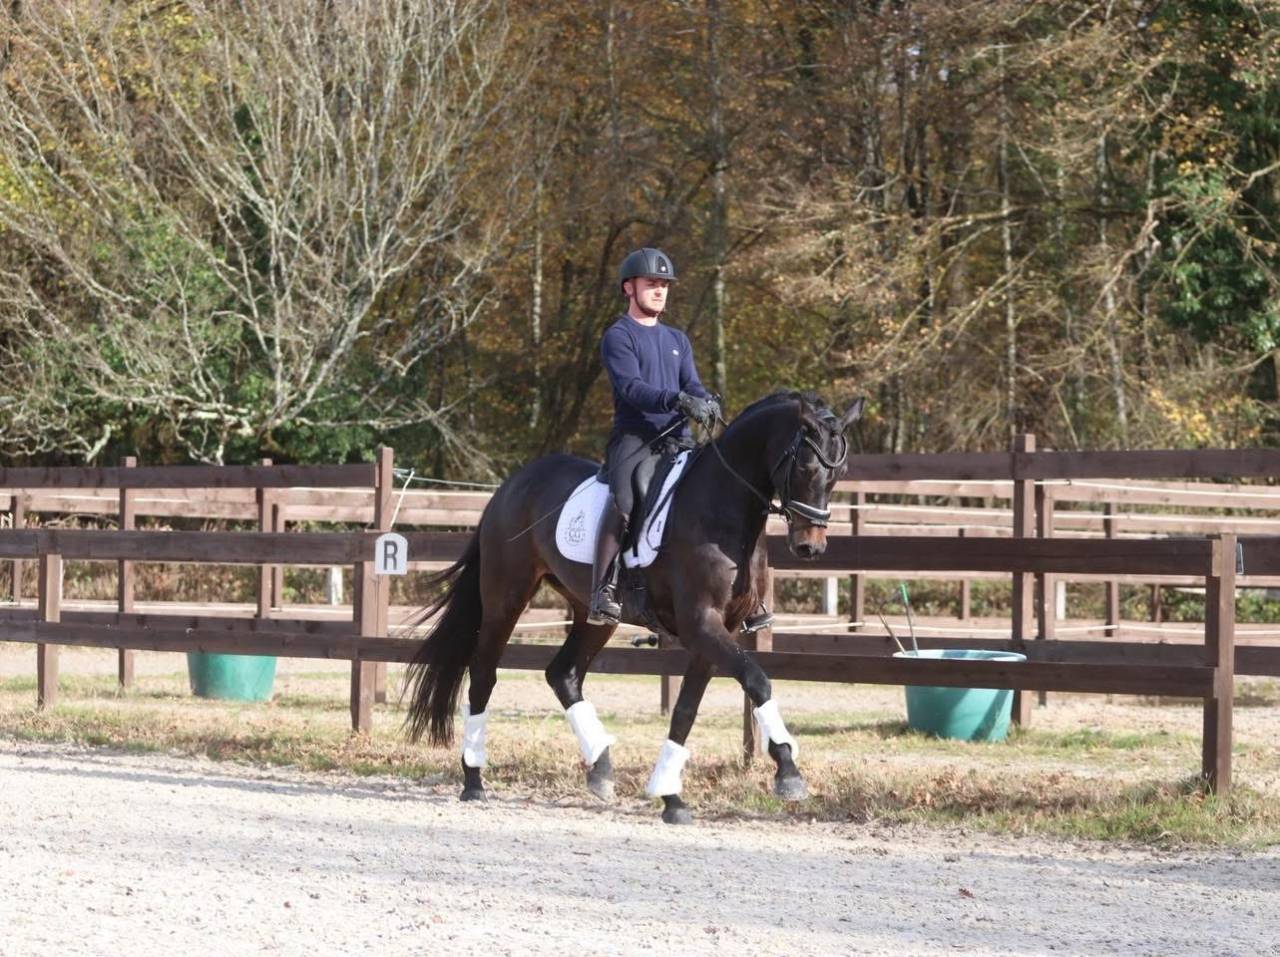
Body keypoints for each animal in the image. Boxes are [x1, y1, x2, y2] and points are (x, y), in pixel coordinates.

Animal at [403, 390, 864, 824]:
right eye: (806, 468)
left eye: (839, 474)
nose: (810, 547)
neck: (722, 510)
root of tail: (510, 486)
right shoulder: (701, 624)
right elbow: (757, 680)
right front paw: (789, 771)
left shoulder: (719, 630)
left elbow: (685, 709)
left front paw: (670, 796)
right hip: (506, 597)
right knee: (483, 674)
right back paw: (474, 778)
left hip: (594, 615)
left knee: (563, 674)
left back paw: (601, 767)